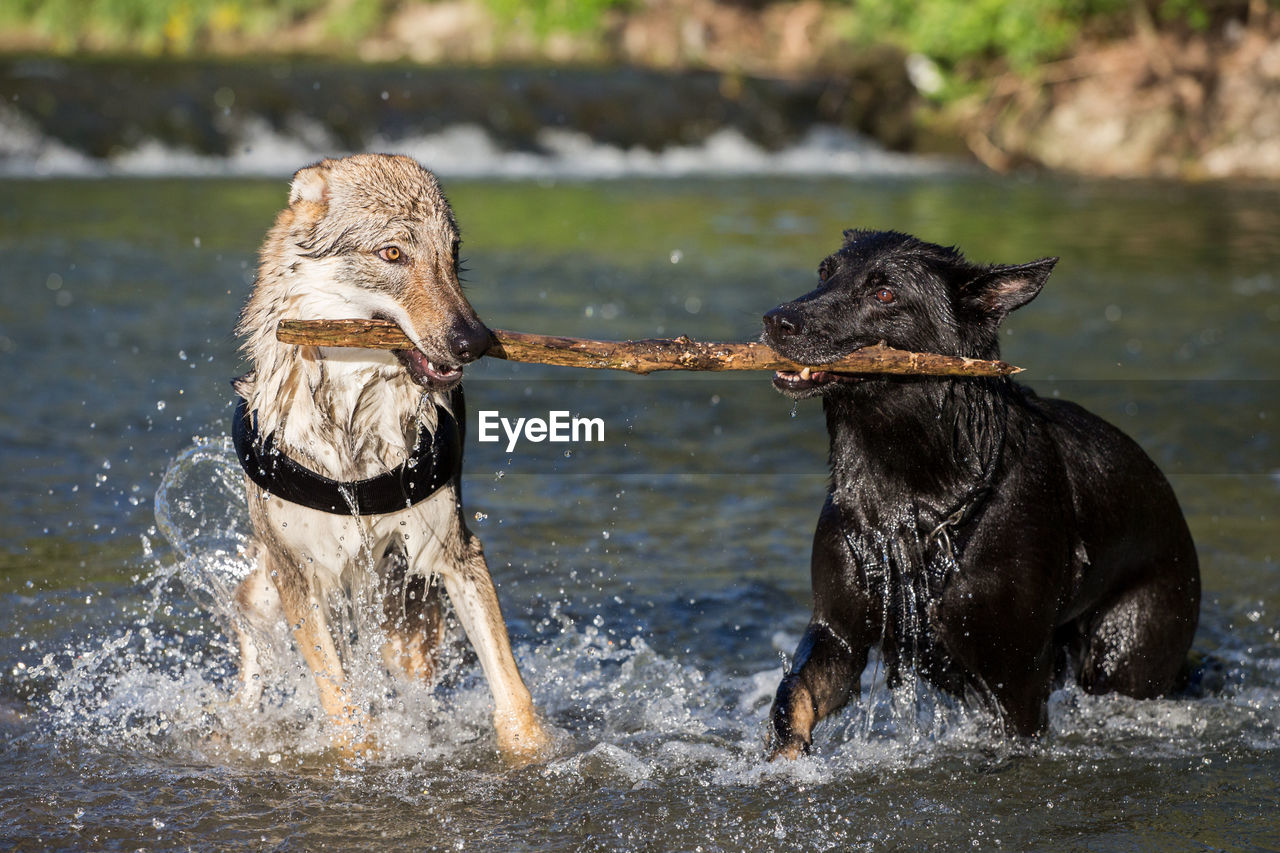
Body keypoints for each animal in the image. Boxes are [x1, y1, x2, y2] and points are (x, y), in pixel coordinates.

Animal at [232, 153, 547, 758]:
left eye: (452, 253)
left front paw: (537, 755)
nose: (476, 342)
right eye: (393, 254)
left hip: (408, 622)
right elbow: (343, 707)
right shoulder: (299, 577)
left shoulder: (453, 552)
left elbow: (515, 697)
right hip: (265, 592)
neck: (355, 422)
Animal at [762, 229, 1203, 753]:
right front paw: (786, 760)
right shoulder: (839, 632)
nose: (776, 320)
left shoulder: (1016, 677)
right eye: (825, 272)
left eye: (884, 294)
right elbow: (794, 696)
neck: (910, 490)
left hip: (1129, 644)